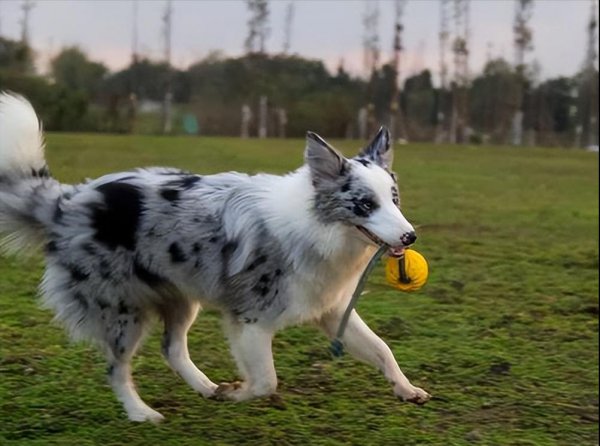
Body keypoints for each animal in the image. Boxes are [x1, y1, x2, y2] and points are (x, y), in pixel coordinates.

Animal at [0, 93, 432, 422]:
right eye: (365, 204)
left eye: (394, 199)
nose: (410, 236)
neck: (318, 228)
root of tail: (67, 202)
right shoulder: (251, 319)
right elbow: (266, 381)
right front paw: (238, 392)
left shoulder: (332, 310)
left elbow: (382, 348)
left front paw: (406, 388)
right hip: (123, 311)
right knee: (117, 368)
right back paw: (142, 413)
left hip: (179, 298)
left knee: (172, 349)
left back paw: (207, 387)